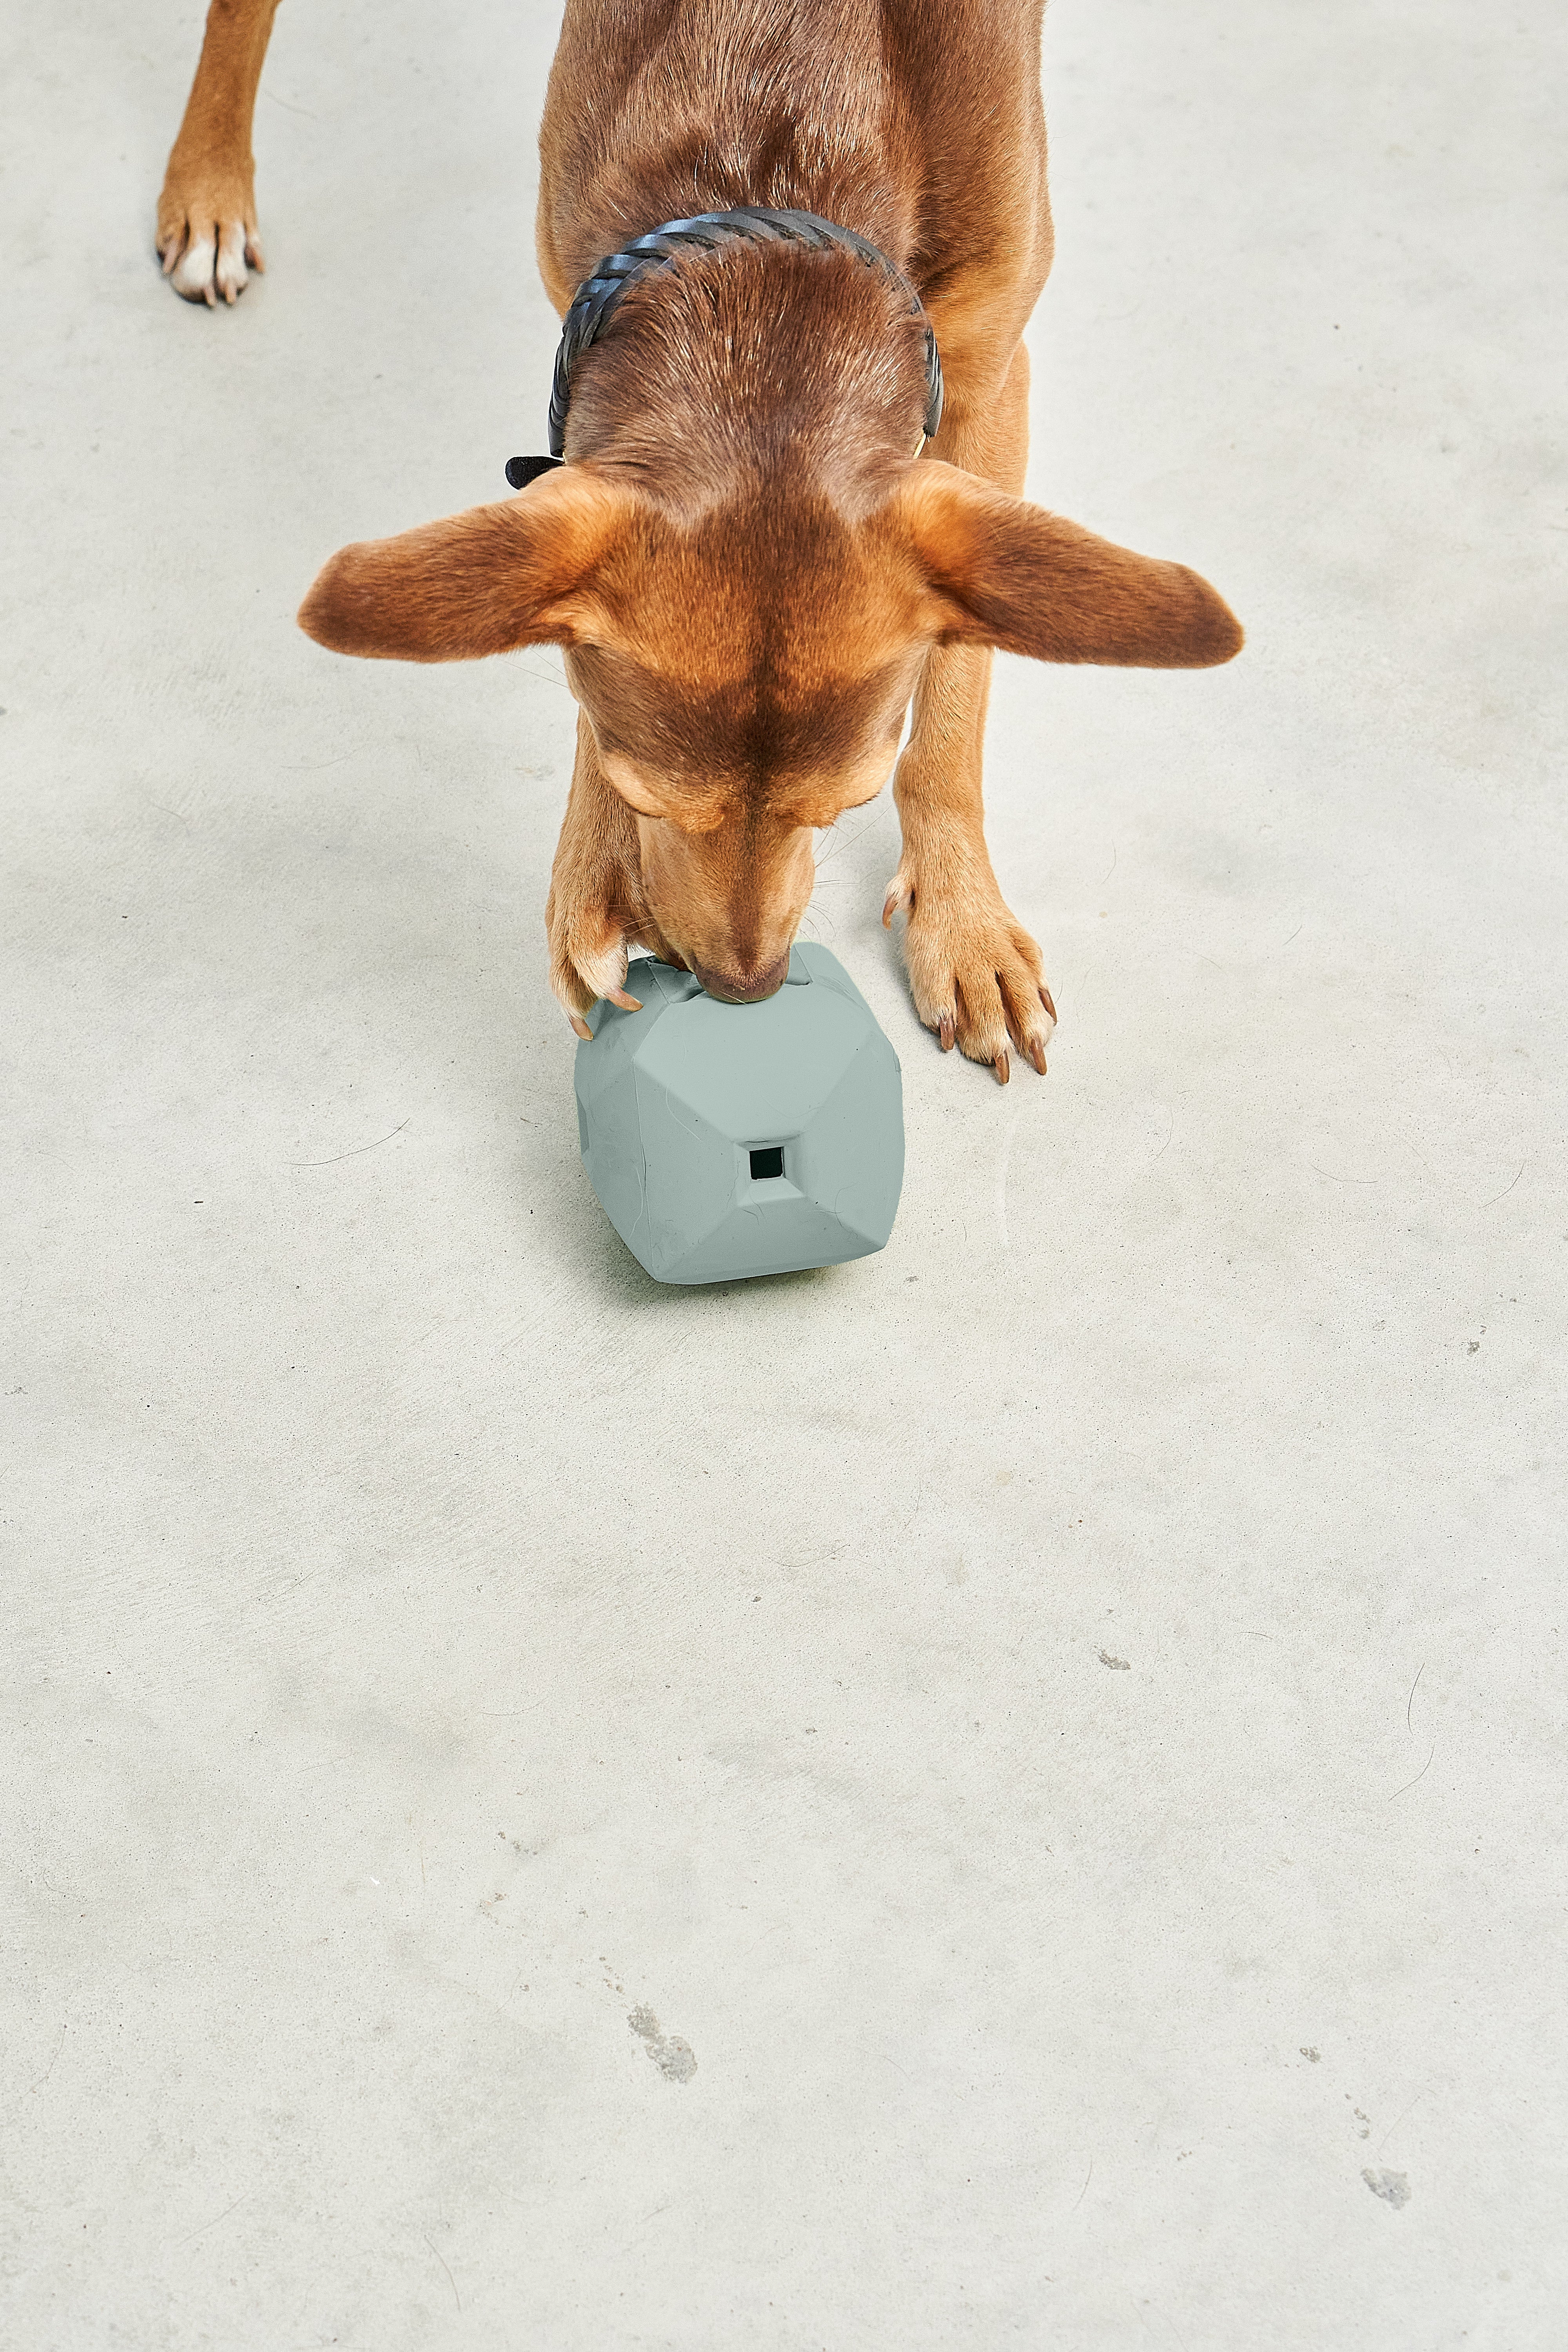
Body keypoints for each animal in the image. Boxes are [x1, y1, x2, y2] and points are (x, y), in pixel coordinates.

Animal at [156, 0, 1241, 1077]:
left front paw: (963, 923)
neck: (781, 143)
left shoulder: (989, 379)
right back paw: (207, 190)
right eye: (655, 800)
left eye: (841, 808)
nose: (742, 989)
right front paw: (591, 878)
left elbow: (956, 697)